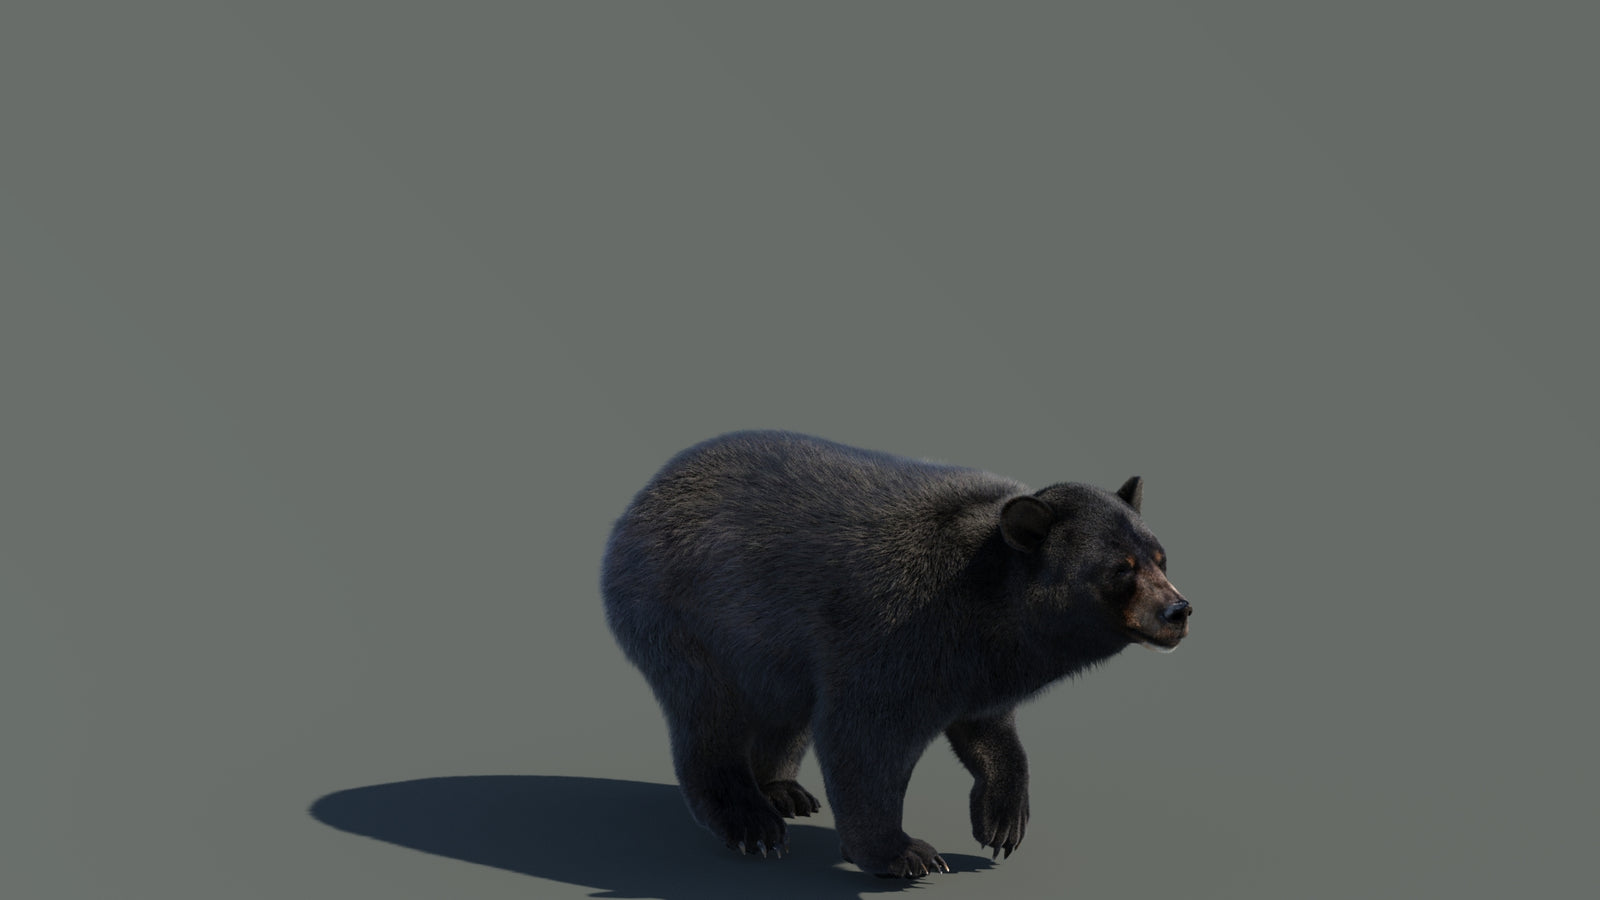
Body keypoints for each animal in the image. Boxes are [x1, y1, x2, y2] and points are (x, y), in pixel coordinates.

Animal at [600, 430, 1191, 878]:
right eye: (1121, 570)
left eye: (1160, 556)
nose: (1179, 611)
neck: (986, 602)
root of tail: (643, 495)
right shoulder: (895, 632)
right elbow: (865, 736)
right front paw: (902, 852)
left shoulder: (976, 664)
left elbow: (986, 726)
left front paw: (1002, 820)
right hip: (683, 614)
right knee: (709, 714)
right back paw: (751, 821)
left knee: (783, 710)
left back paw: (783, 790)